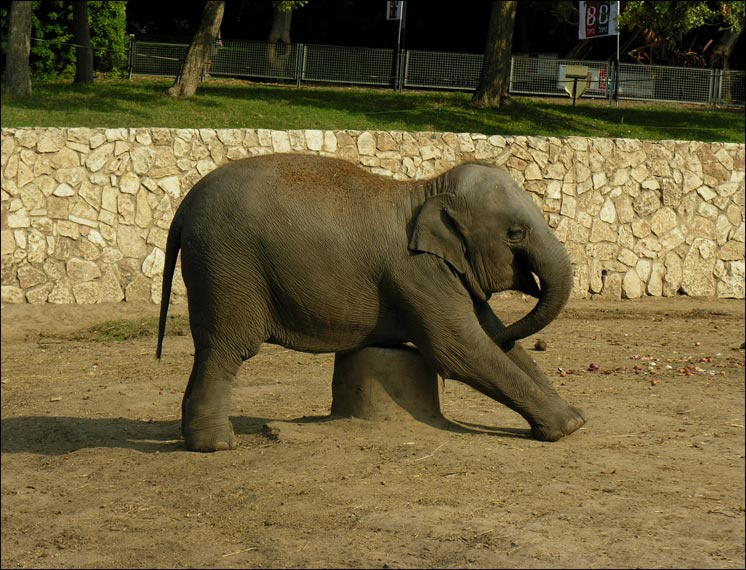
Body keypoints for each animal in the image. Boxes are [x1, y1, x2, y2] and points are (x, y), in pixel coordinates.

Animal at [156, 153, 586, 452]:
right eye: (516, 233)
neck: (426, 190)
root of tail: (184, 204)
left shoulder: (448, 270)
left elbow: (487, 333)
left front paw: (575, 418)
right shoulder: (418, 272)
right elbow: (457, 348)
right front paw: (565, 428)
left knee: (209, 348)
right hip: (228, 265)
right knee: (228, 349)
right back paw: (216, 445)